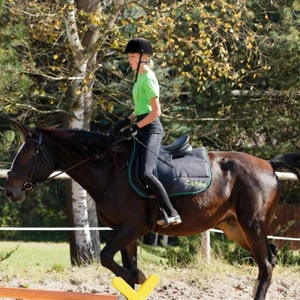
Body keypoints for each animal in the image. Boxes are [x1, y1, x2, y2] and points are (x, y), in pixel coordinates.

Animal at [4, 122, 300, 300]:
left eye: (28, 152)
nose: (10, 191)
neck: (109, 171)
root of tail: (268, 165)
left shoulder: (131, 228)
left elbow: (106, 258)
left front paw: (140, 276)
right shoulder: (125, 233)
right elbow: (122, 267)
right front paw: (135, 278)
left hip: (252, 225)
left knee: (265, 265)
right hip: (234, 227)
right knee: (270, 256)